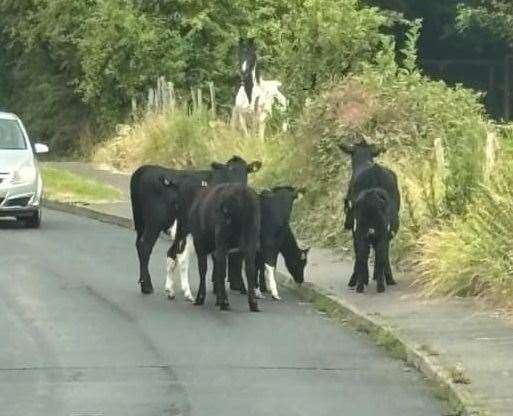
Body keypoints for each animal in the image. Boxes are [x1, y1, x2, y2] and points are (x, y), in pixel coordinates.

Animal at [340, 142, 400, 292]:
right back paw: (382, 282)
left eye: (346, 205)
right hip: (382, 232)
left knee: (367, 255)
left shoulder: (356, 232)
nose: (346, 225)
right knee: (380, 255)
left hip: (367, 232)